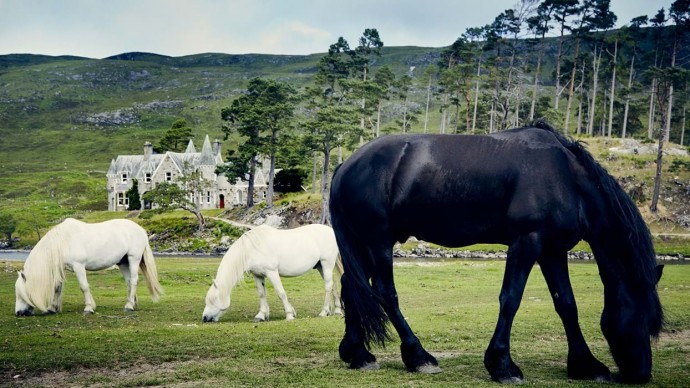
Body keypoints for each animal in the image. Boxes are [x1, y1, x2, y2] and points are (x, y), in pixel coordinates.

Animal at [15, 218, 163, 316]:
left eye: (21, 293)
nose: (19, 313)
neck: (63, 242)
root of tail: (141, 229)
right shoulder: (62, 268)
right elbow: (57, 287)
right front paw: (52, 308)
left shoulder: (79, 266)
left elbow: (84, 287)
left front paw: (88, 308)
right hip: (123, 262)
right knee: (128, 282)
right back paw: (132, 303)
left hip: (133, 259)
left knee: (133, 281)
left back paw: (129, 306)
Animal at [202, 223, 342, 322]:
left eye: (213, 299)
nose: (204, 318)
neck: (252, 249)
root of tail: (331, 231)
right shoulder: (257, 275)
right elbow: (261, 294)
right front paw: (261, 316)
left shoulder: (272, 272)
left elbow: (281, 293)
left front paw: (289, 315)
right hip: (320, 267)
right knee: (333, 285)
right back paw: (337, 310)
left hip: (327, 263)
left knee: (328, 286)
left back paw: (324, 312)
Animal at [330, 122, 664, 384]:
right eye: (644, 317)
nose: (641, 374)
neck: (567, 177)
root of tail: (345, 166)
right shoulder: (526, 242)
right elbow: (511, 299)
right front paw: (502, 365)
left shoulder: (553, 251)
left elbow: (567, 305)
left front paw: (587, 365)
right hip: (378, 244)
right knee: (385, 293)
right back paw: (418, 356)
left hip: (361, 246)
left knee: (350, 286)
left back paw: (358, 354)